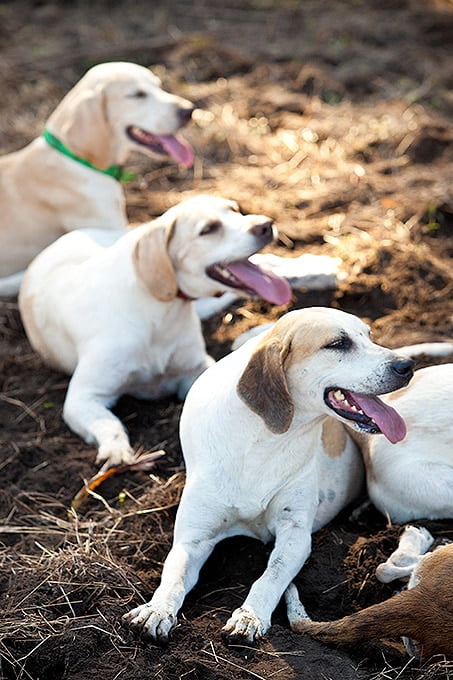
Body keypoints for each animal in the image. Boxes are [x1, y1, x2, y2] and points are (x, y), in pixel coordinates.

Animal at [18, 194, 290, 470]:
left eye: (235, 209)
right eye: (208, 229)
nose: (266, 225)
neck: (159, 314)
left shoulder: (197, 368)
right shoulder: (82, 397)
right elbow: (110, 424)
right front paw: (116, 453)